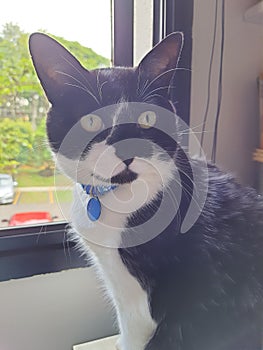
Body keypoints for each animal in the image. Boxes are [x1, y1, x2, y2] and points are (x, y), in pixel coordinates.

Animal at [29, 32, 263, 350]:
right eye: (91, 121)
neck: (120, 199)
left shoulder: (142, 297)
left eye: (148, 118)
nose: (127, 149)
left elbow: (134, 327)